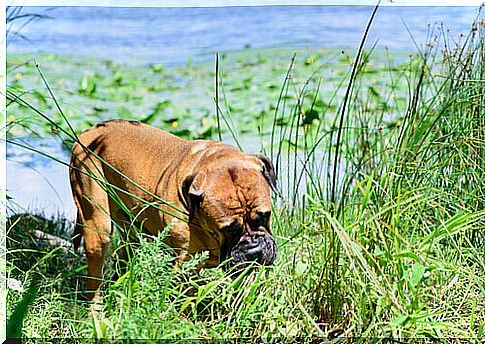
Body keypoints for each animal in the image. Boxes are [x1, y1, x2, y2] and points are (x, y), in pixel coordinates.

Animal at [70, 119, 278, 300]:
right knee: (95, 278)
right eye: (229, 229)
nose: (254, 250)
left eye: (264, 217)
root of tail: (89, 132)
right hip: (97, 227)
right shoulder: (184, 268)